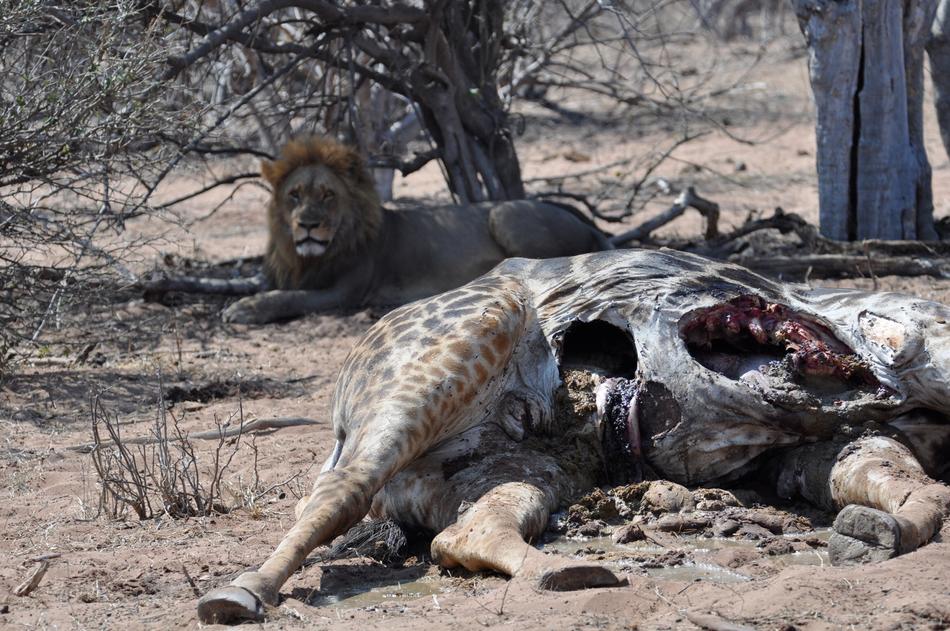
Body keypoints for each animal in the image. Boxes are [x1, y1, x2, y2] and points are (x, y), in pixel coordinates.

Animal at [222, 136, 611, 323]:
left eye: (328, 195)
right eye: (295, 196)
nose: (307, 224)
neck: (312, 257)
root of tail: (584, 219)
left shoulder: (345, 292)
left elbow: (289, 298)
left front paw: (244, 310)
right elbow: (270, 288)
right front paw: (244, 299)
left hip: (503, 212)